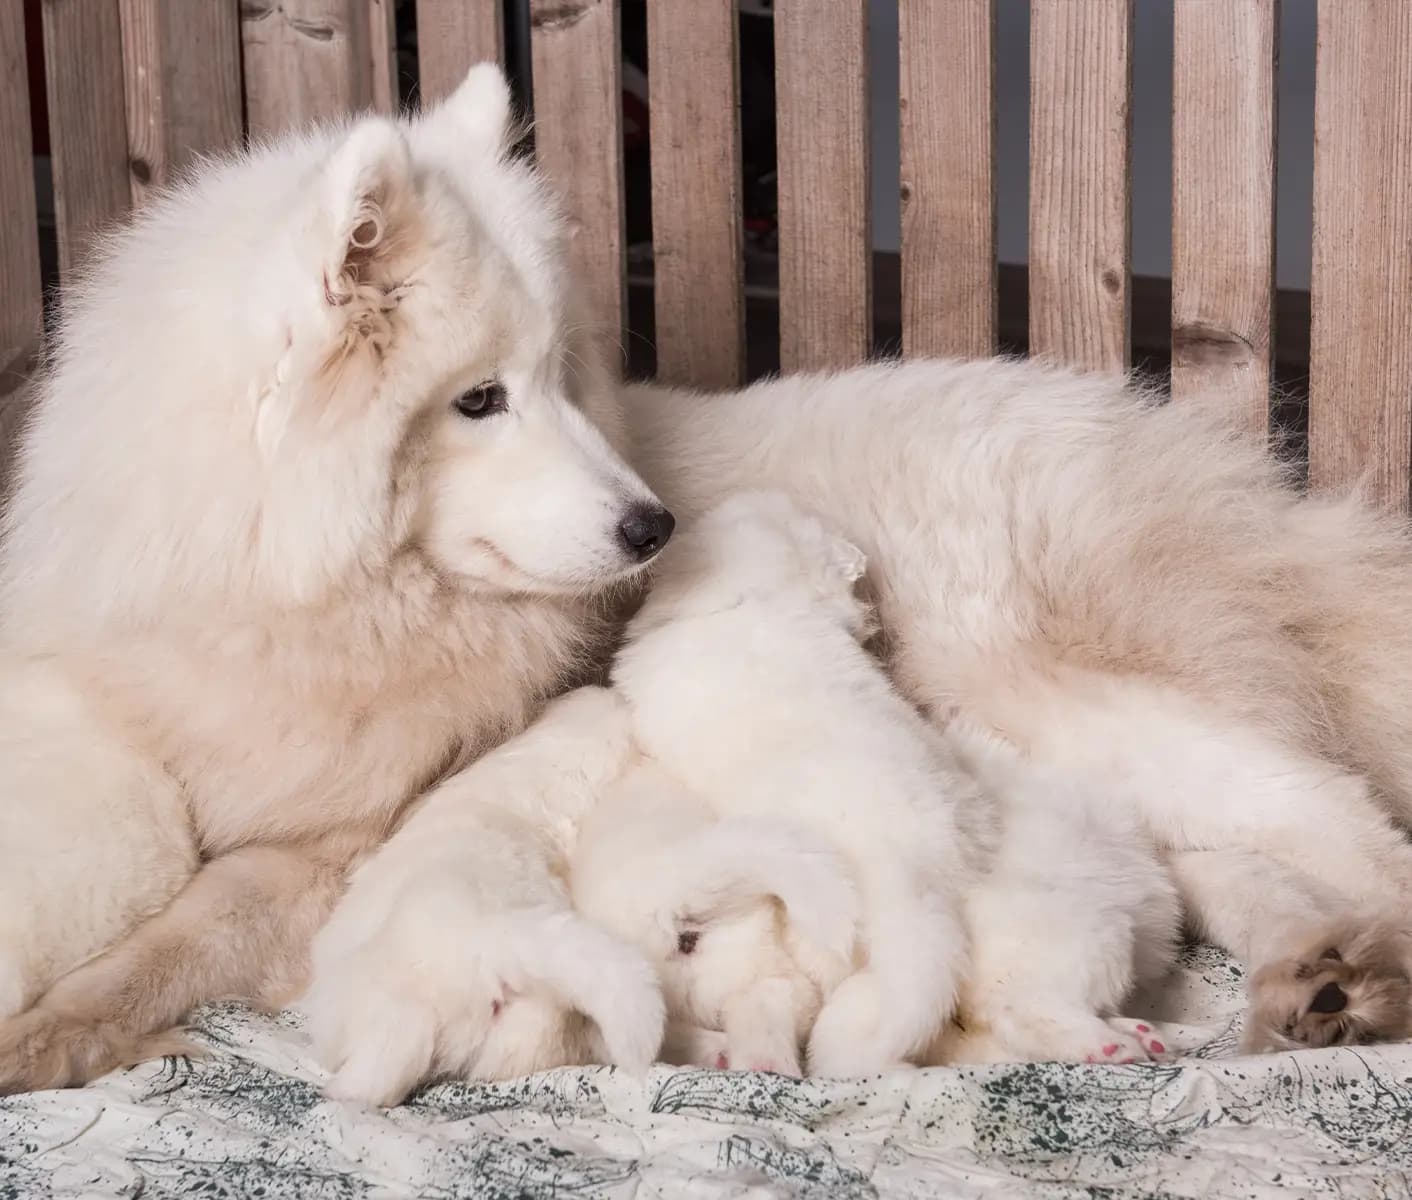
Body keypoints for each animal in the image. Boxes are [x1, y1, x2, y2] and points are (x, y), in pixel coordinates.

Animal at [2, 65, 1412, 1089]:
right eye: (478, 401)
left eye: (560, 377)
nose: (651, 526)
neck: (304, 592)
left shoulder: (335, 846)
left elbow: (184, 930)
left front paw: (52, 1033)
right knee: (1228, 869)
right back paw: (1318, 982)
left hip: (1055, 697)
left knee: (1341, 819)